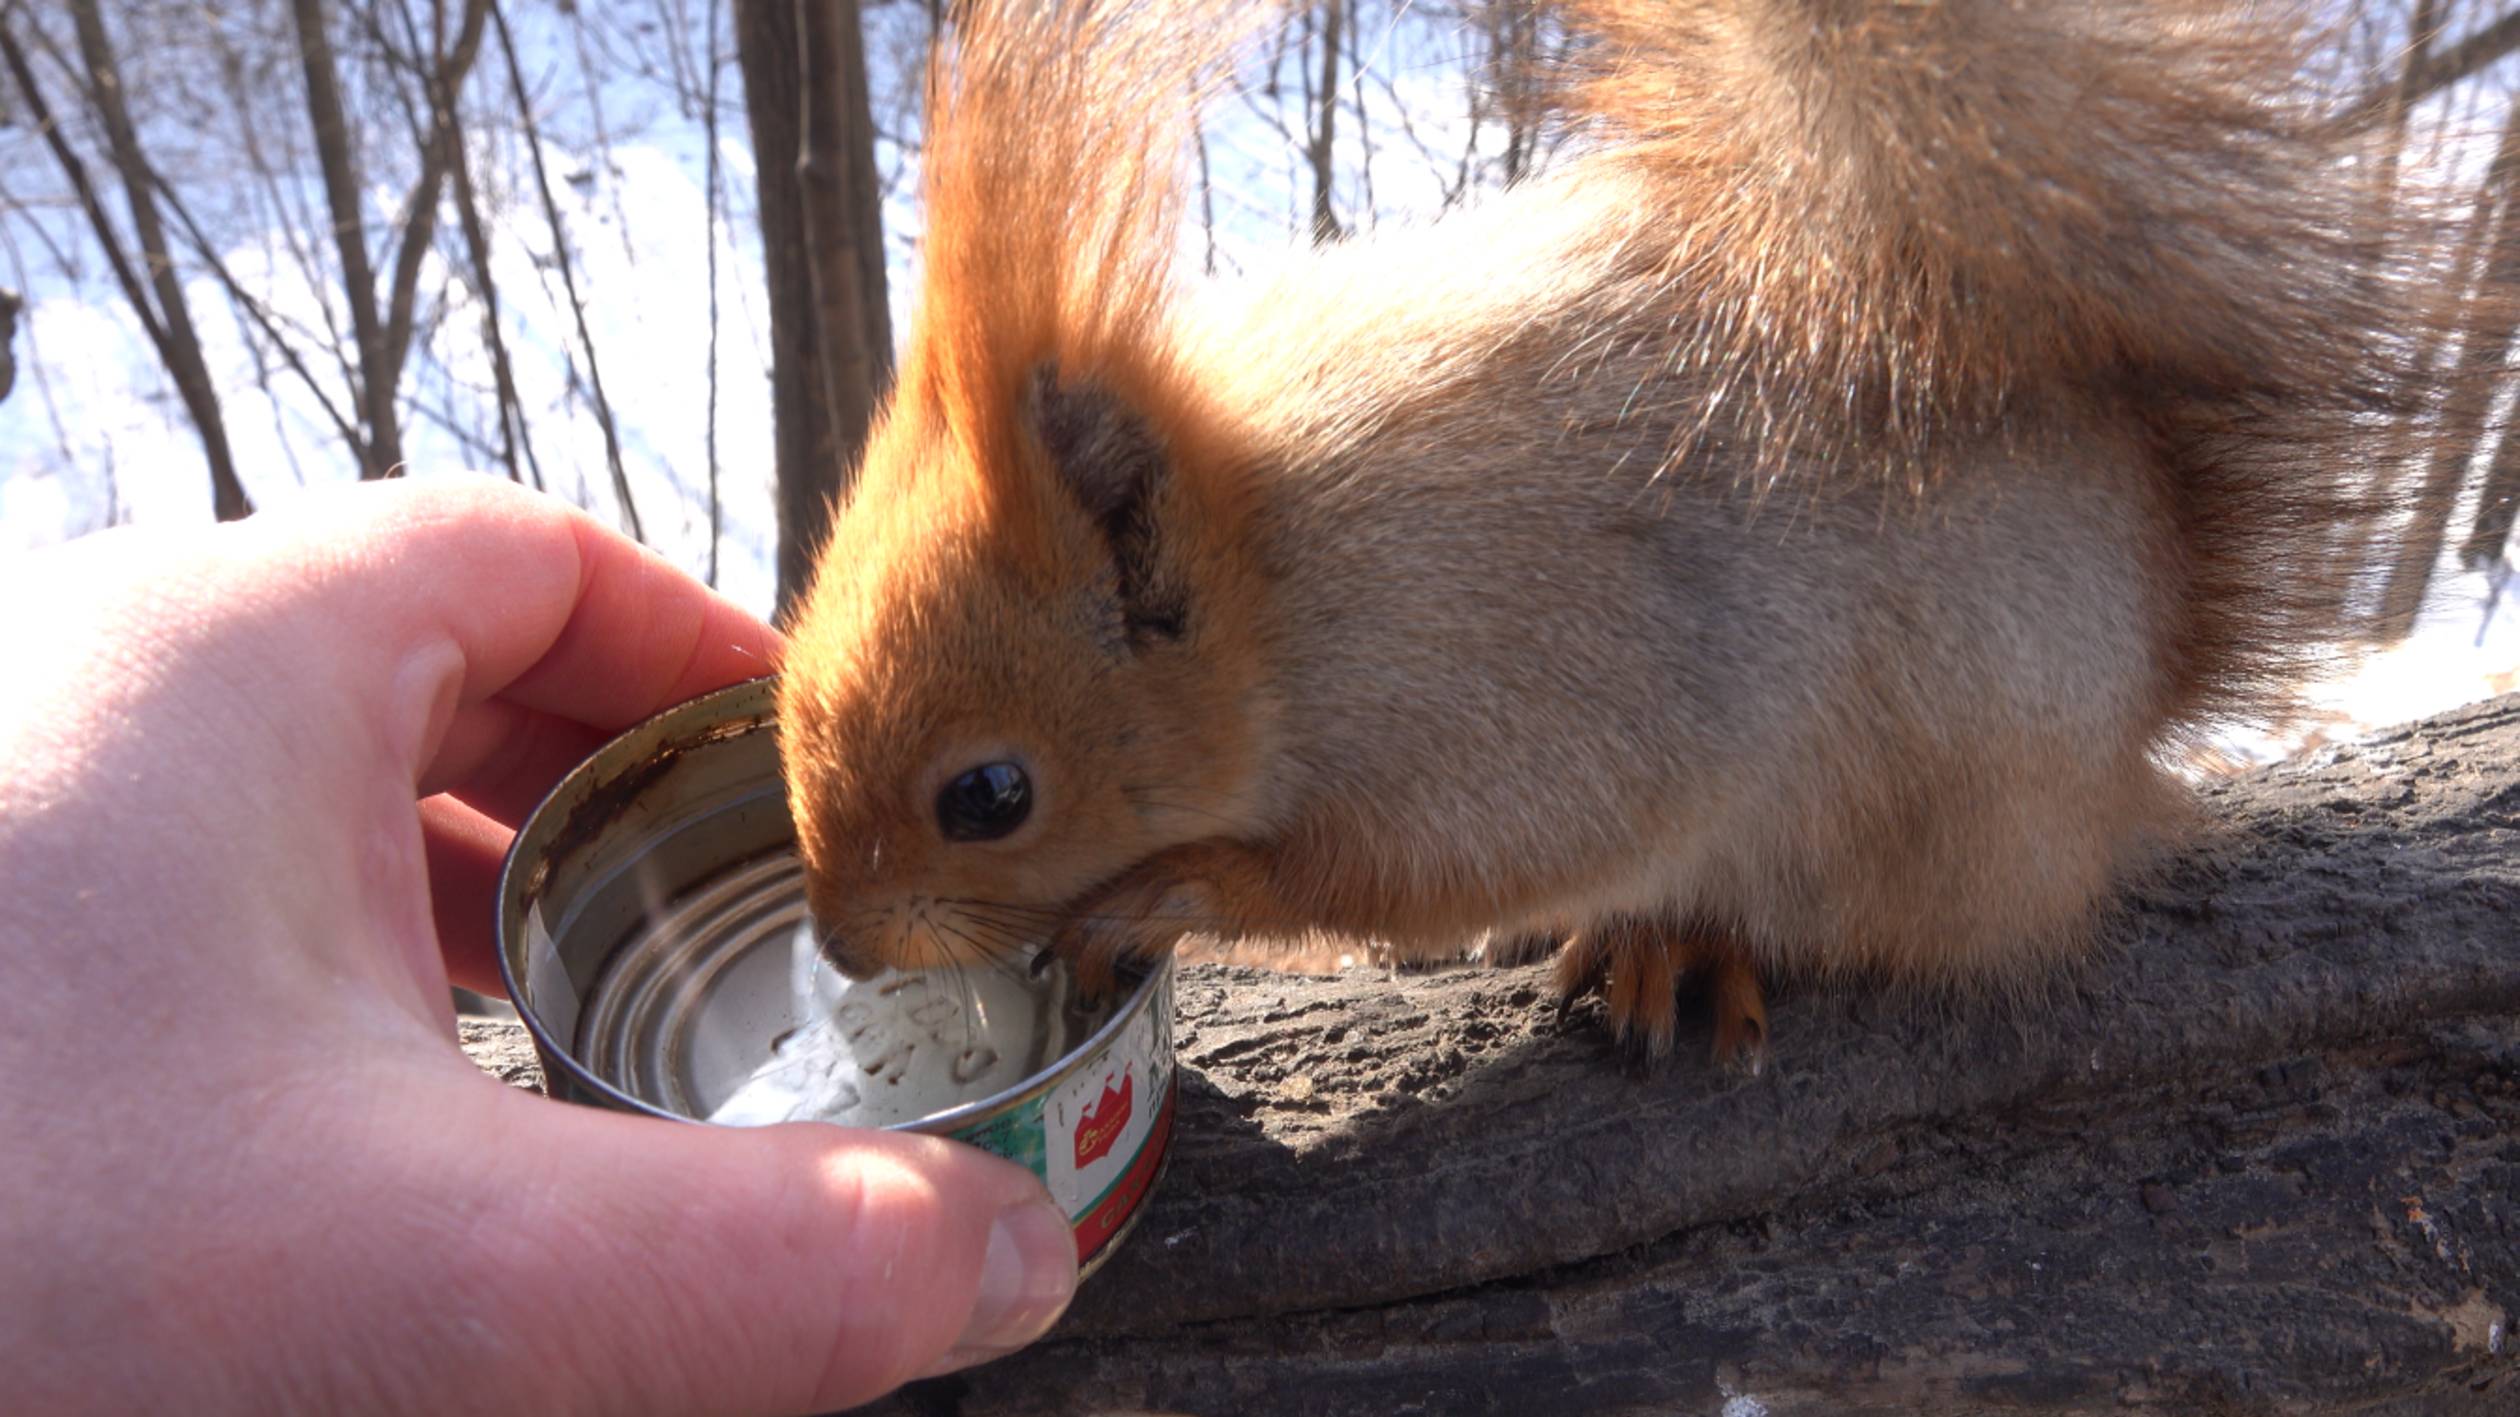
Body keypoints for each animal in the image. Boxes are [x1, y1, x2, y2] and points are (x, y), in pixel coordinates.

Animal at [771, 0, 2459, 1058]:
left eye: (989, 795)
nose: (841, 946)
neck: (1288, 580)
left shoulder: (1529, 695)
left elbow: (1422, 865)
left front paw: (1178, 895)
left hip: (1906, 803)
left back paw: (1680, 944)